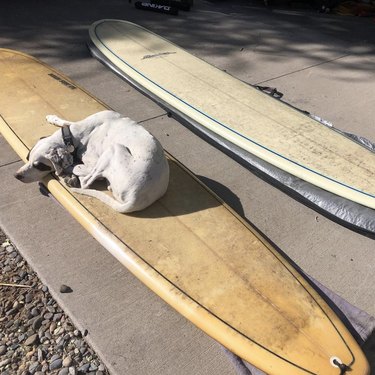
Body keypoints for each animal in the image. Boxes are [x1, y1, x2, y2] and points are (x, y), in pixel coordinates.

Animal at [14, 110, 170, 213]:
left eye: (40, 166)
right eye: (27, 158)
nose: (17, 176)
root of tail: (136, 198)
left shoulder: (91, 161)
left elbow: (76, 168)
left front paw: (67, 172)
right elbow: (66, 122)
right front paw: (53, 118)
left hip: (114, 148)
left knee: (85, 182)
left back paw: (70, 176)